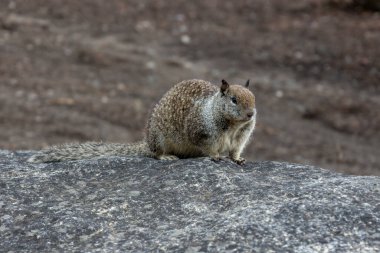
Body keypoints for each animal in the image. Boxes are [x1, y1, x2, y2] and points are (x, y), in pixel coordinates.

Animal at [28, 80, 256, 165]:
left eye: (254, 98)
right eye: (234, 99)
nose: (251, 114)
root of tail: (147, 142)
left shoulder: (241, 137)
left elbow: (235, 150)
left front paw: (238, 159)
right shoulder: (201, 131)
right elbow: (206, 146)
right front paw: (215, 156)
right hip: (160, 138)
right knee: (155, 154)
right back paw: (166, 156)